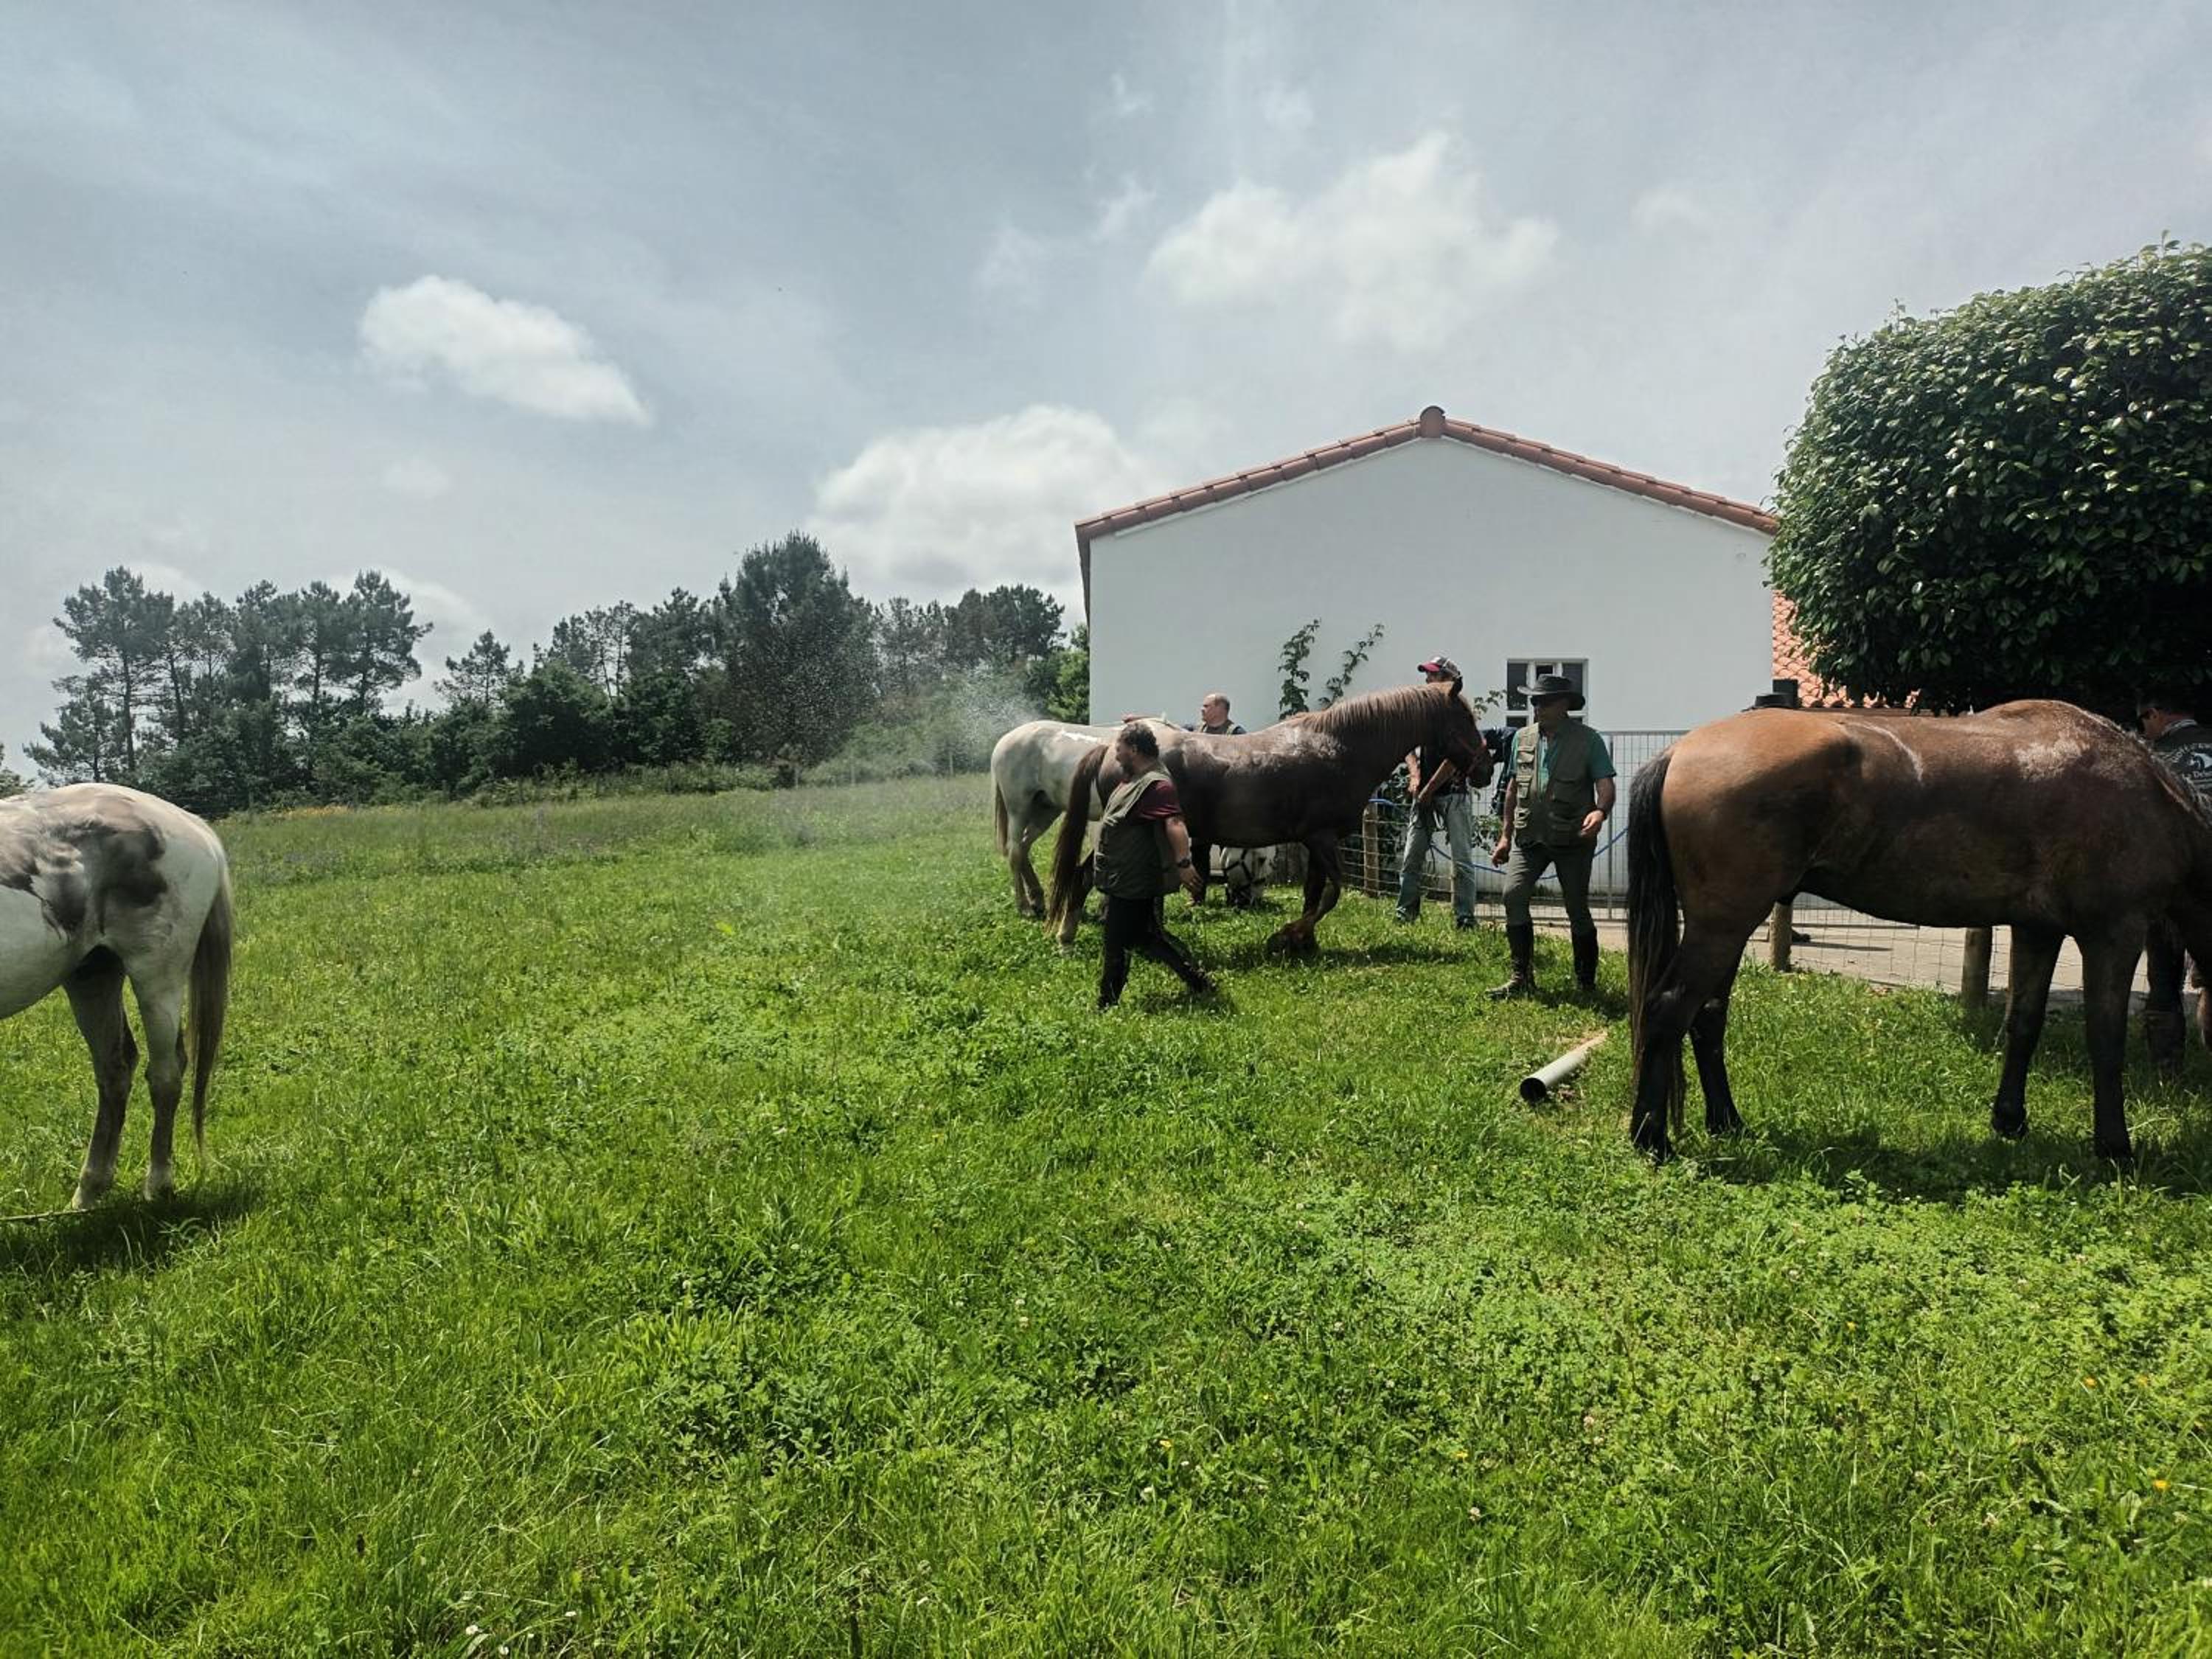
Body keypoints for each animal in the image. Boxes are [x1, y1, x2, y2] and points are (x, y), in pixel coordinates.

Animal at [1, 784, 234, 1209]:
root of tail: (191, 824)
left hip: (157, 976)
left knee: (165, 1075)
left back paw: (157, 1185)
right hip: (92, 976)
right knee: (114, 1071)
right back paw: (89, 1191)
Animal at [990, 718, 1177, 915]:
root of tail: (1004, 740)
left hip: (1045, 810)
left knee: (1023, 847)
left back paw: (1037, 898)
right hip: (1019, 809)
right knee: (1015, 852)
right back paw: (1025, 906)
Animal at [1045, 682, 1494, 955]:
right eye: (1465, 720)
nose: (1487, 769)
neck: (1339, 747)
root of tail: (1112, 749)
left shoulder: (1315, 843)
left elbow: (1315, 893)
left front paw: (1306, 943)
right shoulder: (1322, 838)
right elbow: (1333, 893)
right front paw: (1287, 936)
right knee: (1085, 877)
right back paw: (1067, 938)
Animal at [1626, 701, 2212, 1163]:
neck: (2150, 797)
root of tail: (1679, 752)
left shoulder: (2036, 931)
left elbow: (2023, 1026)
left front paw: (2010, 1122)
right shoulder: (2115, 932)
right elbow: (2106, 1040)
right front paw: (2115, 1147)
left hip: (1728, 927)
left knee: (1706, 1018)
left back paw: (1727, 1122)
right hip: (1722, 925)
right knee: (1668, 1009)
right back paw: (1651, 1139)